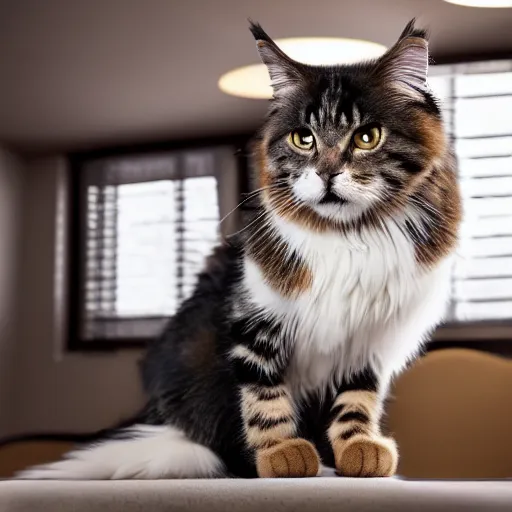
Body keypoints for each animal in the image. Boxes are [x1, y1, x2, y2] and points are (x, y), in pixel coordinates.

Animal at [19, 19, 460, 480]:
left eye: (367, 137)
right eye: (303, 139)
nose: (326, 174)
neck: (348, 235)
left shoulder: (371, 337)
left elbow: (357, 399)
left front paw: (358, 449)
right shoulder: (253, 317)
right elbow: (263, 393)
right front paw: (282, 455)